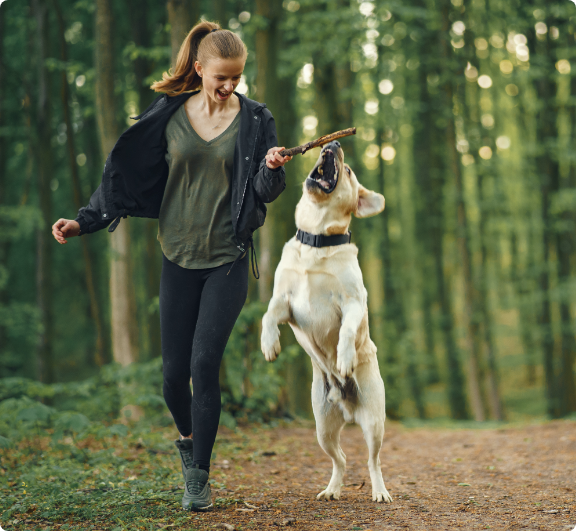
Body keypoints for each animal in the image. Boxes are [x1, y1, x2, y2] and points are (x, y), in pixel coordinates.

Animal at [260, 140, 392, 502]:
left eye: (347, 170)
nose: (333, 142)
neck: (316, 240)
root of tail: (347, 408)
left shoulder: (353, 303)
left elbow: (346, 331)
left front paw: (345, 358)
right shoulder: (285, 302)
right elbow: (267, 315)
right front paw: (269, 344)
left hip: (375, 423)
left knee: (373, 461)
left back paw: (380, 492)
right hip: (322, 428)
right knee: (341, 458)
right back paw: (332, 489)